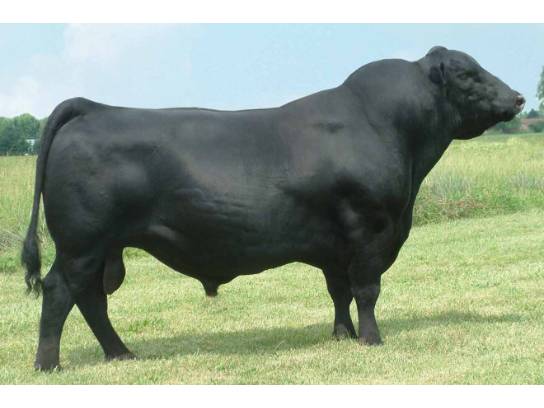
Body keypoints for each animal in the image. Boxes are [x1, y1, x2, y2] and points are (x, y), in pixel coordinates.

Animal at [22, 46, 524, 370]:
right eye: (468, 75)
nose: (518, 97)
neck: (389, 128)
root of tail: (93, 107)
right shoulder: (370, 230)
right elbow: (366, 290)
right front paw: (371, 339)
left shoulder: (335, 242)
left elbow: (339, 291)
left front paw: (341, 335)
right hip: (82, 243)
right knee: (61, 292)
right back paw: (49, 364)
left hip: (101, 248)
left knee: (91, 299)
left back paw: (120, 353)